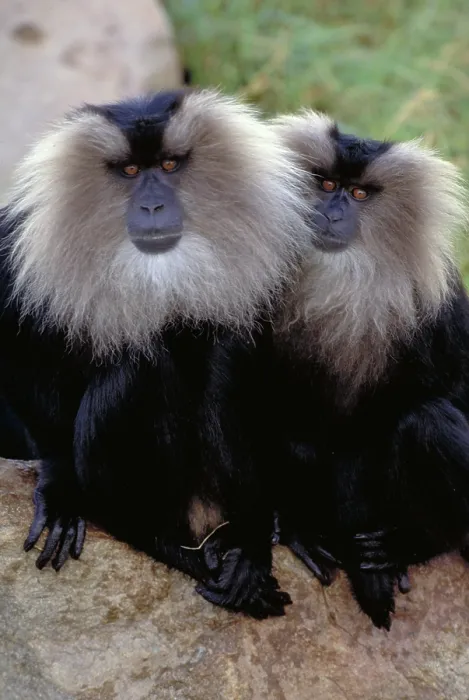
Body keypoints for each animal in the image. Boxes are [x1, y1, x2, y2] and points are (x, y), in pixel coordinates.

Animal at [0, 88, 312, 618]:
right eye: (129, 171)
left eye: (168, 165)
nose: (152, 206)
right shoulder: (20, 243)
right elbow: (22, 359)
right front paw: (59, 489)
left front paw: (265, 534)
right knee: (140, 363)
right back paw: (161, 542)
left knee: (223, 352)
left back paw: (241, 548)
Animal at [267, 110, 469, 629]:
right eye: (325, 183)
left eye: (358, 194)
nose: (330, 212)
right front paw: (294, 528)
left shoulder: (439, 306)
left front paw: (378, 570)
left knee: (428, 421)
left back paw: (405, 548)